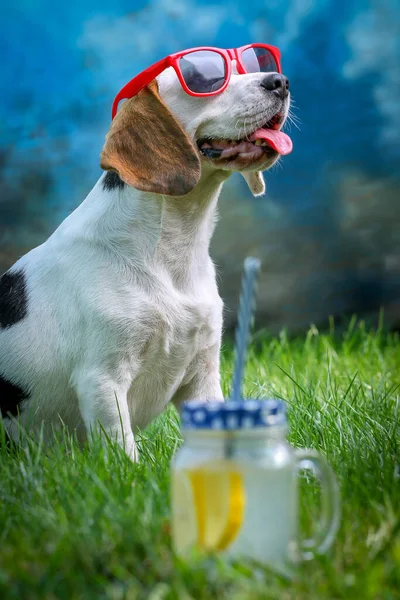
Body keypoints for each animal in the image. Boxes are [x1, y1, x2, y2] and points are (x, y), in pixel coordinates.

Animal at [0, 62, 290, 460]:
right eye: (206, 80)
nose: (281, 81)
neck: (170, 249)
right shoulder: (103, 379)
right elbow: (123, 452)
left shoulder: (203, 373)